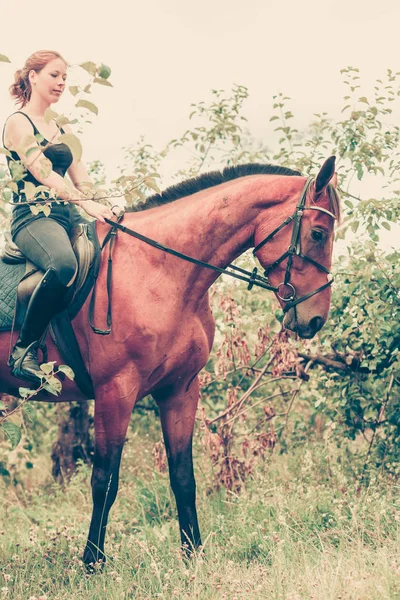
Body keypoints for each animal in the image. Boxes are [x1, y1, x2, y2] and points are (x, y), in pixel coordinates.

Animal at [0, 157, 340, 564]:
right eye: (318, 233)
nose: (315, 319)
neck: (161, 270)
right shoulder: (116, 392)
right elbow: (104, 481)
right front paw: (92, 562)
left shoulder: (180, 391)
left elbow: (183, 477)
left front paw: (193, 555)